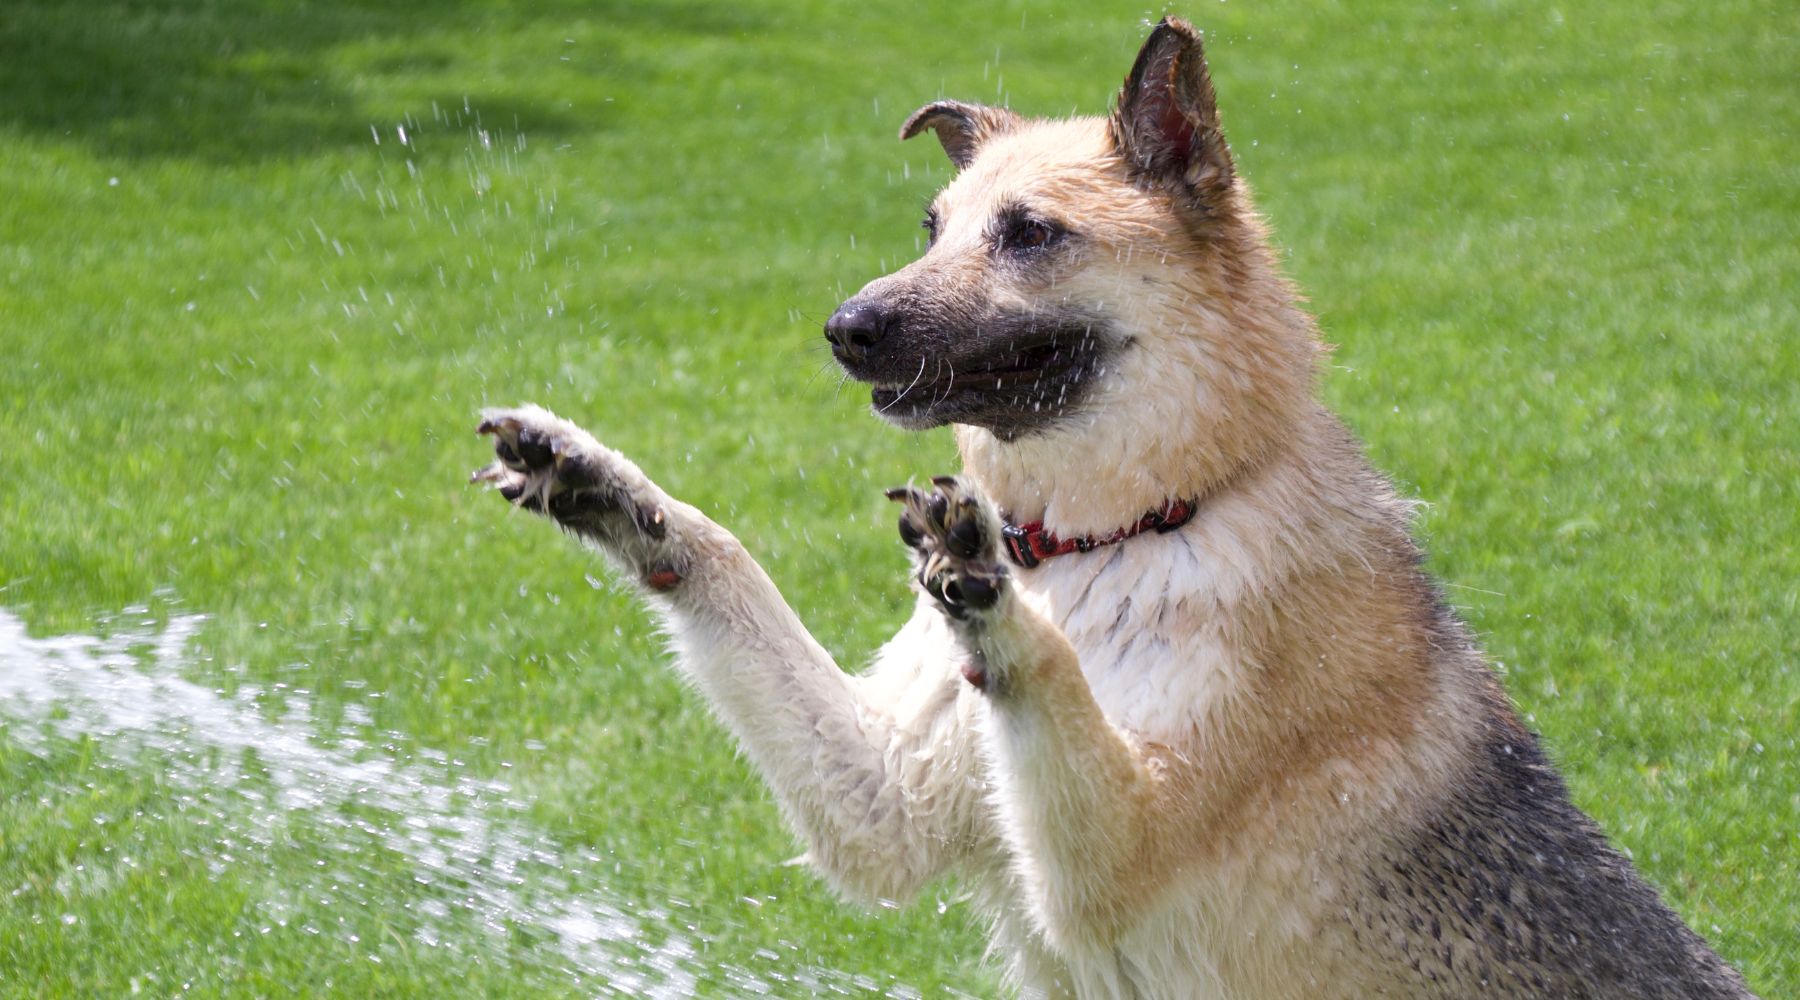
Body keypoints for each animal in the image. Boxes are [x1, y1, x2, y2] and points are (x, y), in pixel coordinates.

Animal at [478, 17, 1756, 1000]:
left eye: (1030, 233)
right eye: (931, 228)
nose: (845, 329)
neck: (1120, 536)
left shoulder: (1117, 853)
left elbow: (1052, 684)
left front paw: (990, 598)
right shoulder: (885, 797)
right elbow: (721, 556)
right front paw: (596, 480)